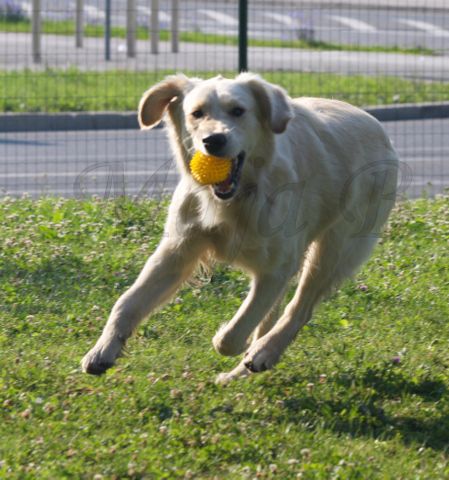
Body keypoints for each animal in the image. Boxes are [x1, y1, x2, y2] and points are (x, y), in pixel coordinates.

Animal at [82, 73, 398, 384]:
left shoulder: (275, 269)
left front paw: (233, 340)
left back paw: (263, 353)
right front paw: (102, 351)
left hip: (335, 249)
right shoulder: (177, 251)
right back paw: (240, 372)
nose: (214, 140)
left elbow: (233, 334)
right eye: (197, 113)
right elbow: (126, 303)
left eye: (238, 111)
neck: (236, 199)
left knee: (300, 308)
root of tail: (374, 124)